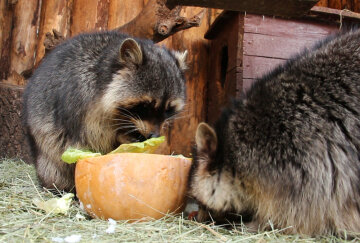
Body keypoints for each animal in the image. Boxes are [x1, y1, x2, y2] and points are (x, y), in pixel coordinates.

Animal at [22, 31, 187, 193]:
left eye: (168, 109)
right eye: (146, 106)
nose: (154, 135)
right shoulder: (81, 97)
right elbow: (94, 135)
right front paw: (121, 136)